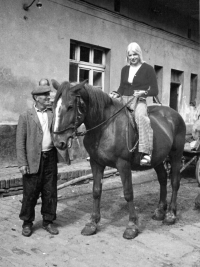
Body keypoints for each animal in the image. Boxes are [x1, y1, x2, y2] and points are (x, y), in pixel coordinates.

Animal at [51, 80, 186, 241]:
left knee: (175, 181)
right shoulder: (96, 163)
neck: (105, 127)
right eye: (53, 106)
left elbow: (128, 193)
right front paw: (92, 223)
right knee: (163, 179)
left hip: (176, 155)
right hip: (158, 159)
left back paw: (171, 214)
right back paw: (160, 211)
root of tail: (174, 114)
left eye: (70, 106)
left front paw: (132, 226)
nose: (58, 141)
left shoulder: (123, 165)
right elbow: (96, 191)